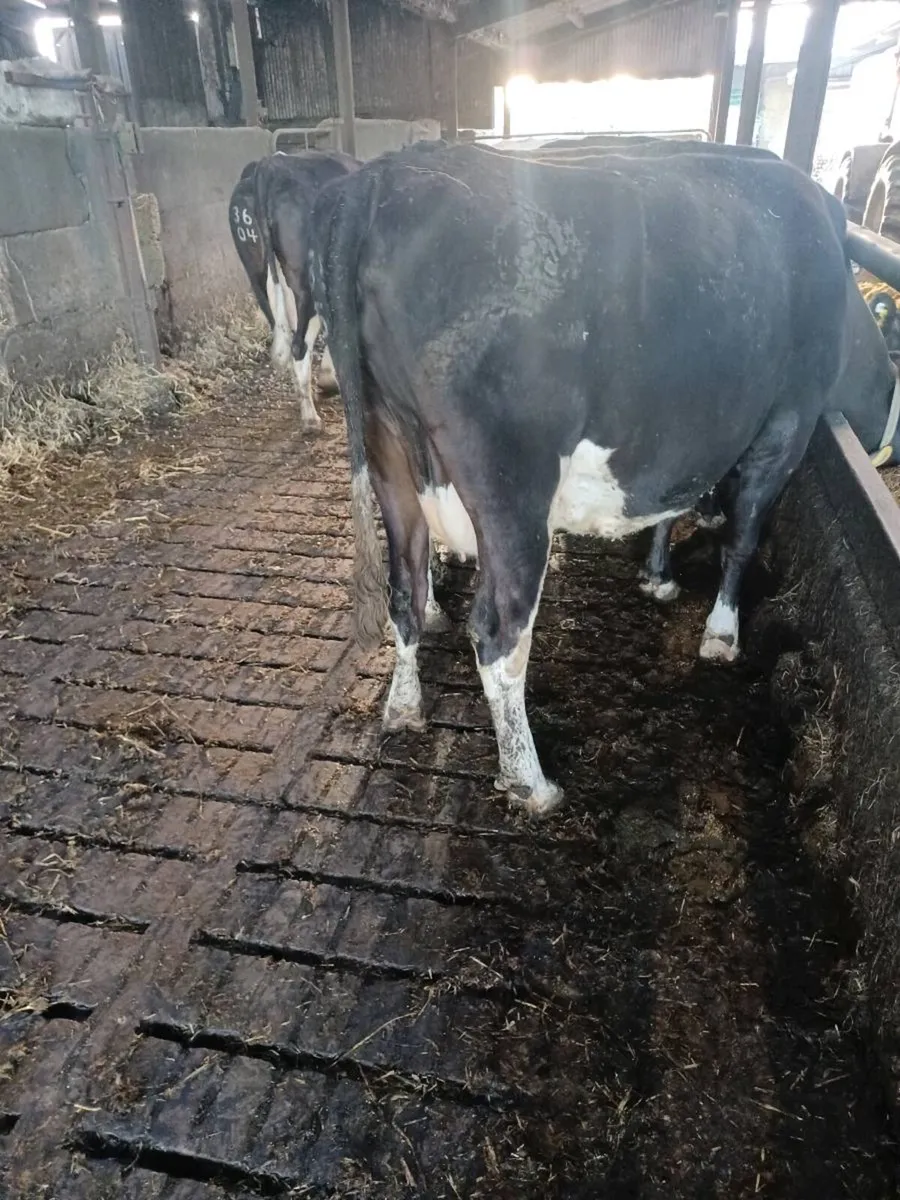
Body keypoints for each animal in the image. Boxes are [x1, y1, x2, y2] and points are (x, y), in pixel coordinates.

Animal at [310, 142, 868, 817]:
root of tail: (384, 178)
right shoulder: (790, 418)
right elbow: (743, 535)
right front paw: (722, 633)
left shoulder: (676, 440)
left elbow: (668, 504)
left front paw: (658, 577)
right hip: (512, 483)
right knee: (497, 633)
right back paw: (531, 780)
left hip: (389, 458)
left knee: (406, 591)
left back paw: (403, 707)